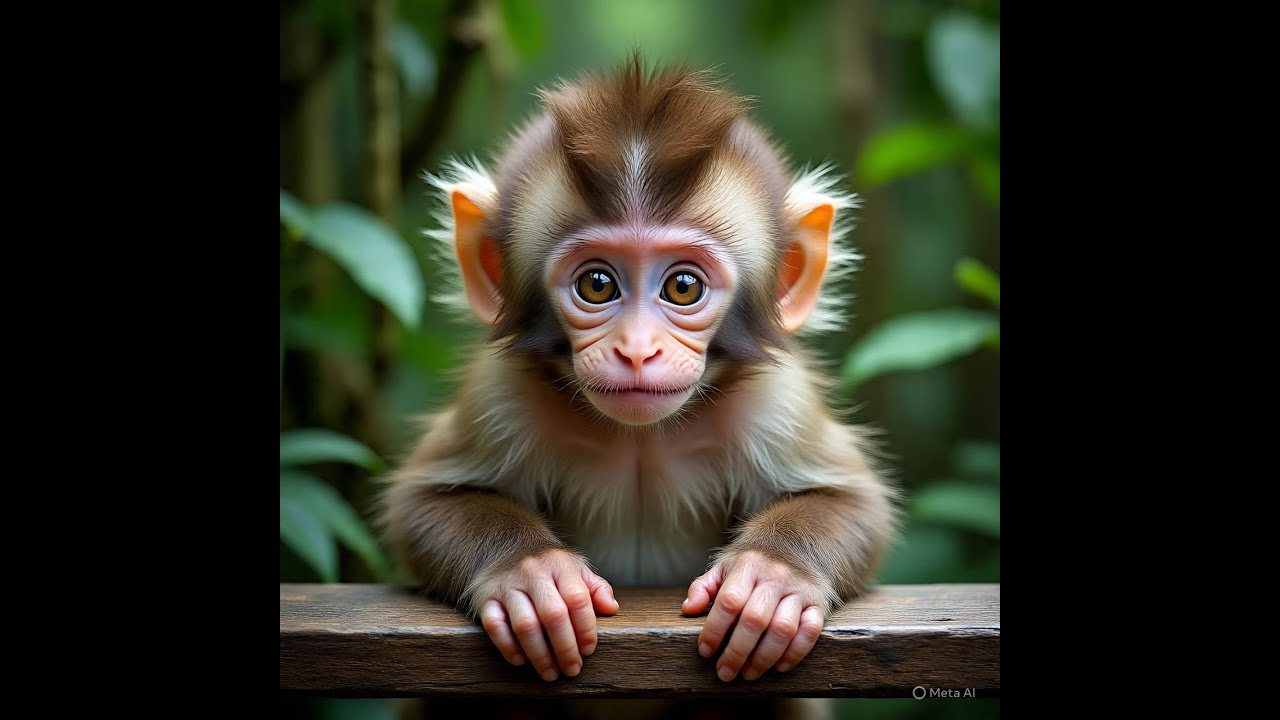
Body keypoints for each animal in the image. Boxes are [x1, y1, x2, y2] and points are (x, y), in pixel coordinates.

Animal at [380, 55, 899, 690]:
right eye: (598, 284)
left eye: (683, 286)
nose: (636, 350)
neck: (641, 436)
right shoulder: (500, 394)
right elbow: (421, 501)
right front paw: (531, 573)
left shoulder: (777, 401)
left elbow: (857, 502)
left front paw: (771, 577)